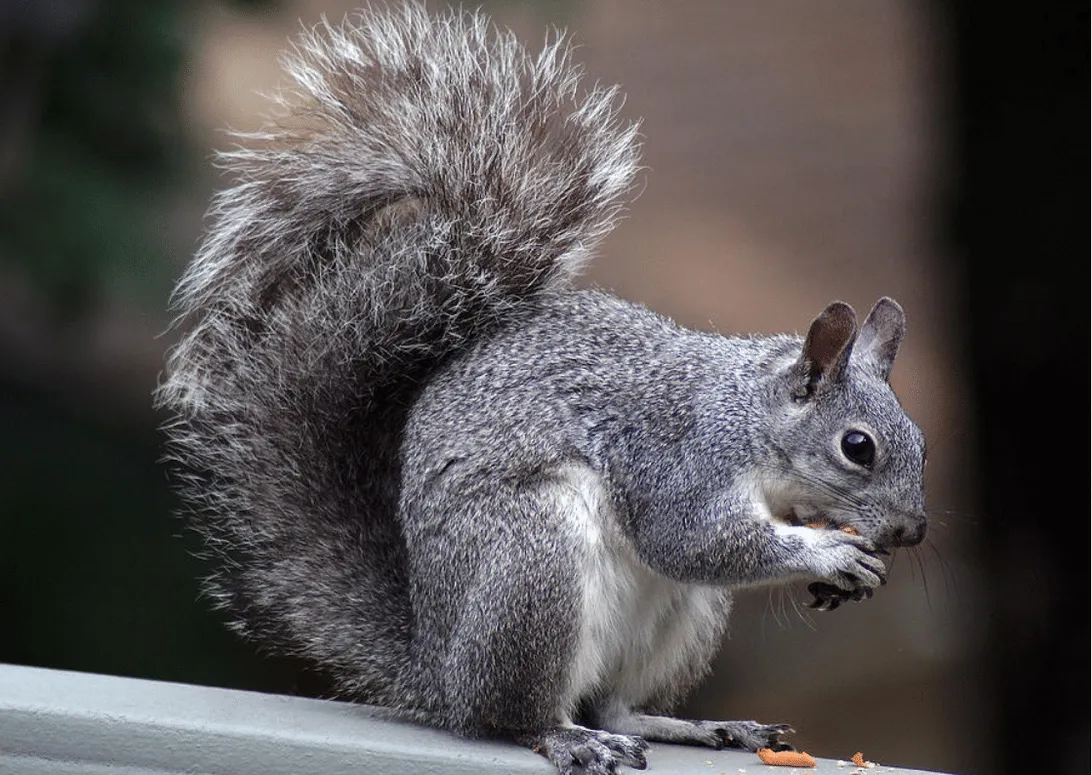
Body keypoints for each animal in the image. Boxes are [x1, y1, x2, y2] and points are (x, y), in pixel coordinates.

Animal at [157, 5, 927, 775]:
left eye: (919, 440)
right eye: (857, 446)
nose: (912, 531)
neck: (751, 421)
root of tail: (442, 673)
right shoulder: (679, 458)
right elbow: (691, 538)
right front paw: (827, 554)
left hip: (683, 615)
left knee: (616, 703)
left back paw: (700, 726)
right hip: (534, 564)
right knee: (514, 714)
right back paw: (566, 735)